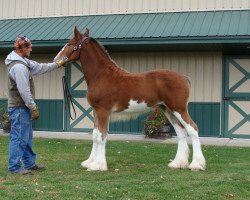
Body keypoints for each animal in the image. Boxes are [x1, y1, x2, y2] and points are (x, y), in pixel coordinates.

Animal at [54, 27, 205, 172]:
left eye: (69, 44)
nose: (56, 59)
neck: (101, 75)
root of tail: (183, 77)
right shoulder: (96, 112)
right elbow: (95, 135)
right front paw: (89, 162)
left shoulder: (103, 111)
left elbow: (101, 136)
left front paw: (98, 165)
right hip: (168, 109)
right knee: (181, 132)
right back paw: (178, 163)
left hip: (179, 109)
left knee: (192, 129)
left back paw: (196, 165)